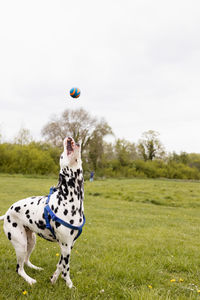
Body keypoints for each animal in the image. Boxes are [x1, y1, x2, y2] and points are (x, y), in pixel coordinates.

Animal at [0, 137, 85, 288]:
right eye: (61, 155)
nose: (68, 138)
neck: (69, 198)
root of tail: (7, 213)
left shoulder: (68, 246)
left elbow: (60, 265)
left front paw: (53, 279)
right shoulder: (66, 246)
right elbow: (66, 269)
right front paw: (69, 285)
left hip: (31, 241)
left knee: (26, 261)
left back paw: (35, 268)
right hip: (21, 244)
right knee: (19, 268)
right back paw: (29, 279)